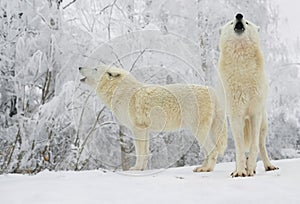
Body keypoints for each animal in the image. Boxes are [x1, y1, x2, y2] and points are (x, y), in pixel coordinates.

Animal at [78, 65, 226, 172]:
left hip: (198, 131)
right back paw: (202, 167)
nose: (79, 67)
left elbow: (139, 153)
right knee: (209, 151)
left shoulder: (137, 130)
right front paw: (142, 169)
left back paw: (206, 169)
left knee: (213, 150)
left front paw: (136, 169)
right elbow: (145, 153)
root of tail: (212, 91)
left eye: (95, 68)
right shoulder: (145, 131)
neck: (122, 93)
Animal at [218, 12, 278, 176]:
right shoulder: (236, 116)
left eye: (247, 22)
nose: (239, 15)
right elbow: (239, 148)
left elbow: (253, 147)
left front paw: (250, 168)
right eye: (231, 22)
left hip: (263, 124)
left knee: (261, 145)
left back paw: (268, 166)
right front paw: (240, 171)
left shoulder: (255, 114)